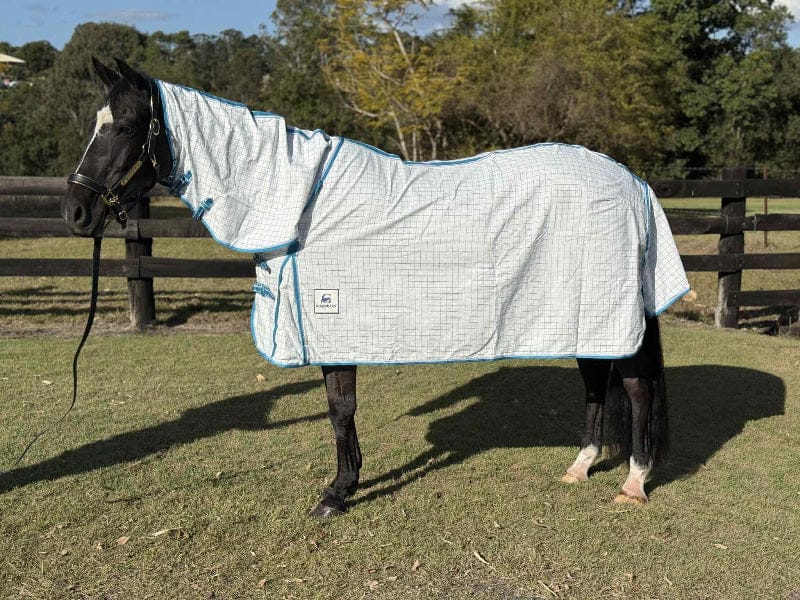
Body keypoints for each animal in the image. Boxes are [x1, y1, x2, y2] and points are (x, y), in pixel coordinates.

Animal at [62, 58, 690, 517]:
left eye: (123, 126)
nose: (75, 211)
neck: (300, 206)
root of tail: (631, 180)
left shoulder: (334, 327)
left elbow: (340, 410)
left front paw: (337, 493)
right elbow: (340, 410)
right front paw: (345, 484)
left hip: (613, 315)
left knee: (635, 390)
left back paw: (633, 483)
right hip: (581, 317)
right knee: (596, 383)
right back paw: (579, 467)